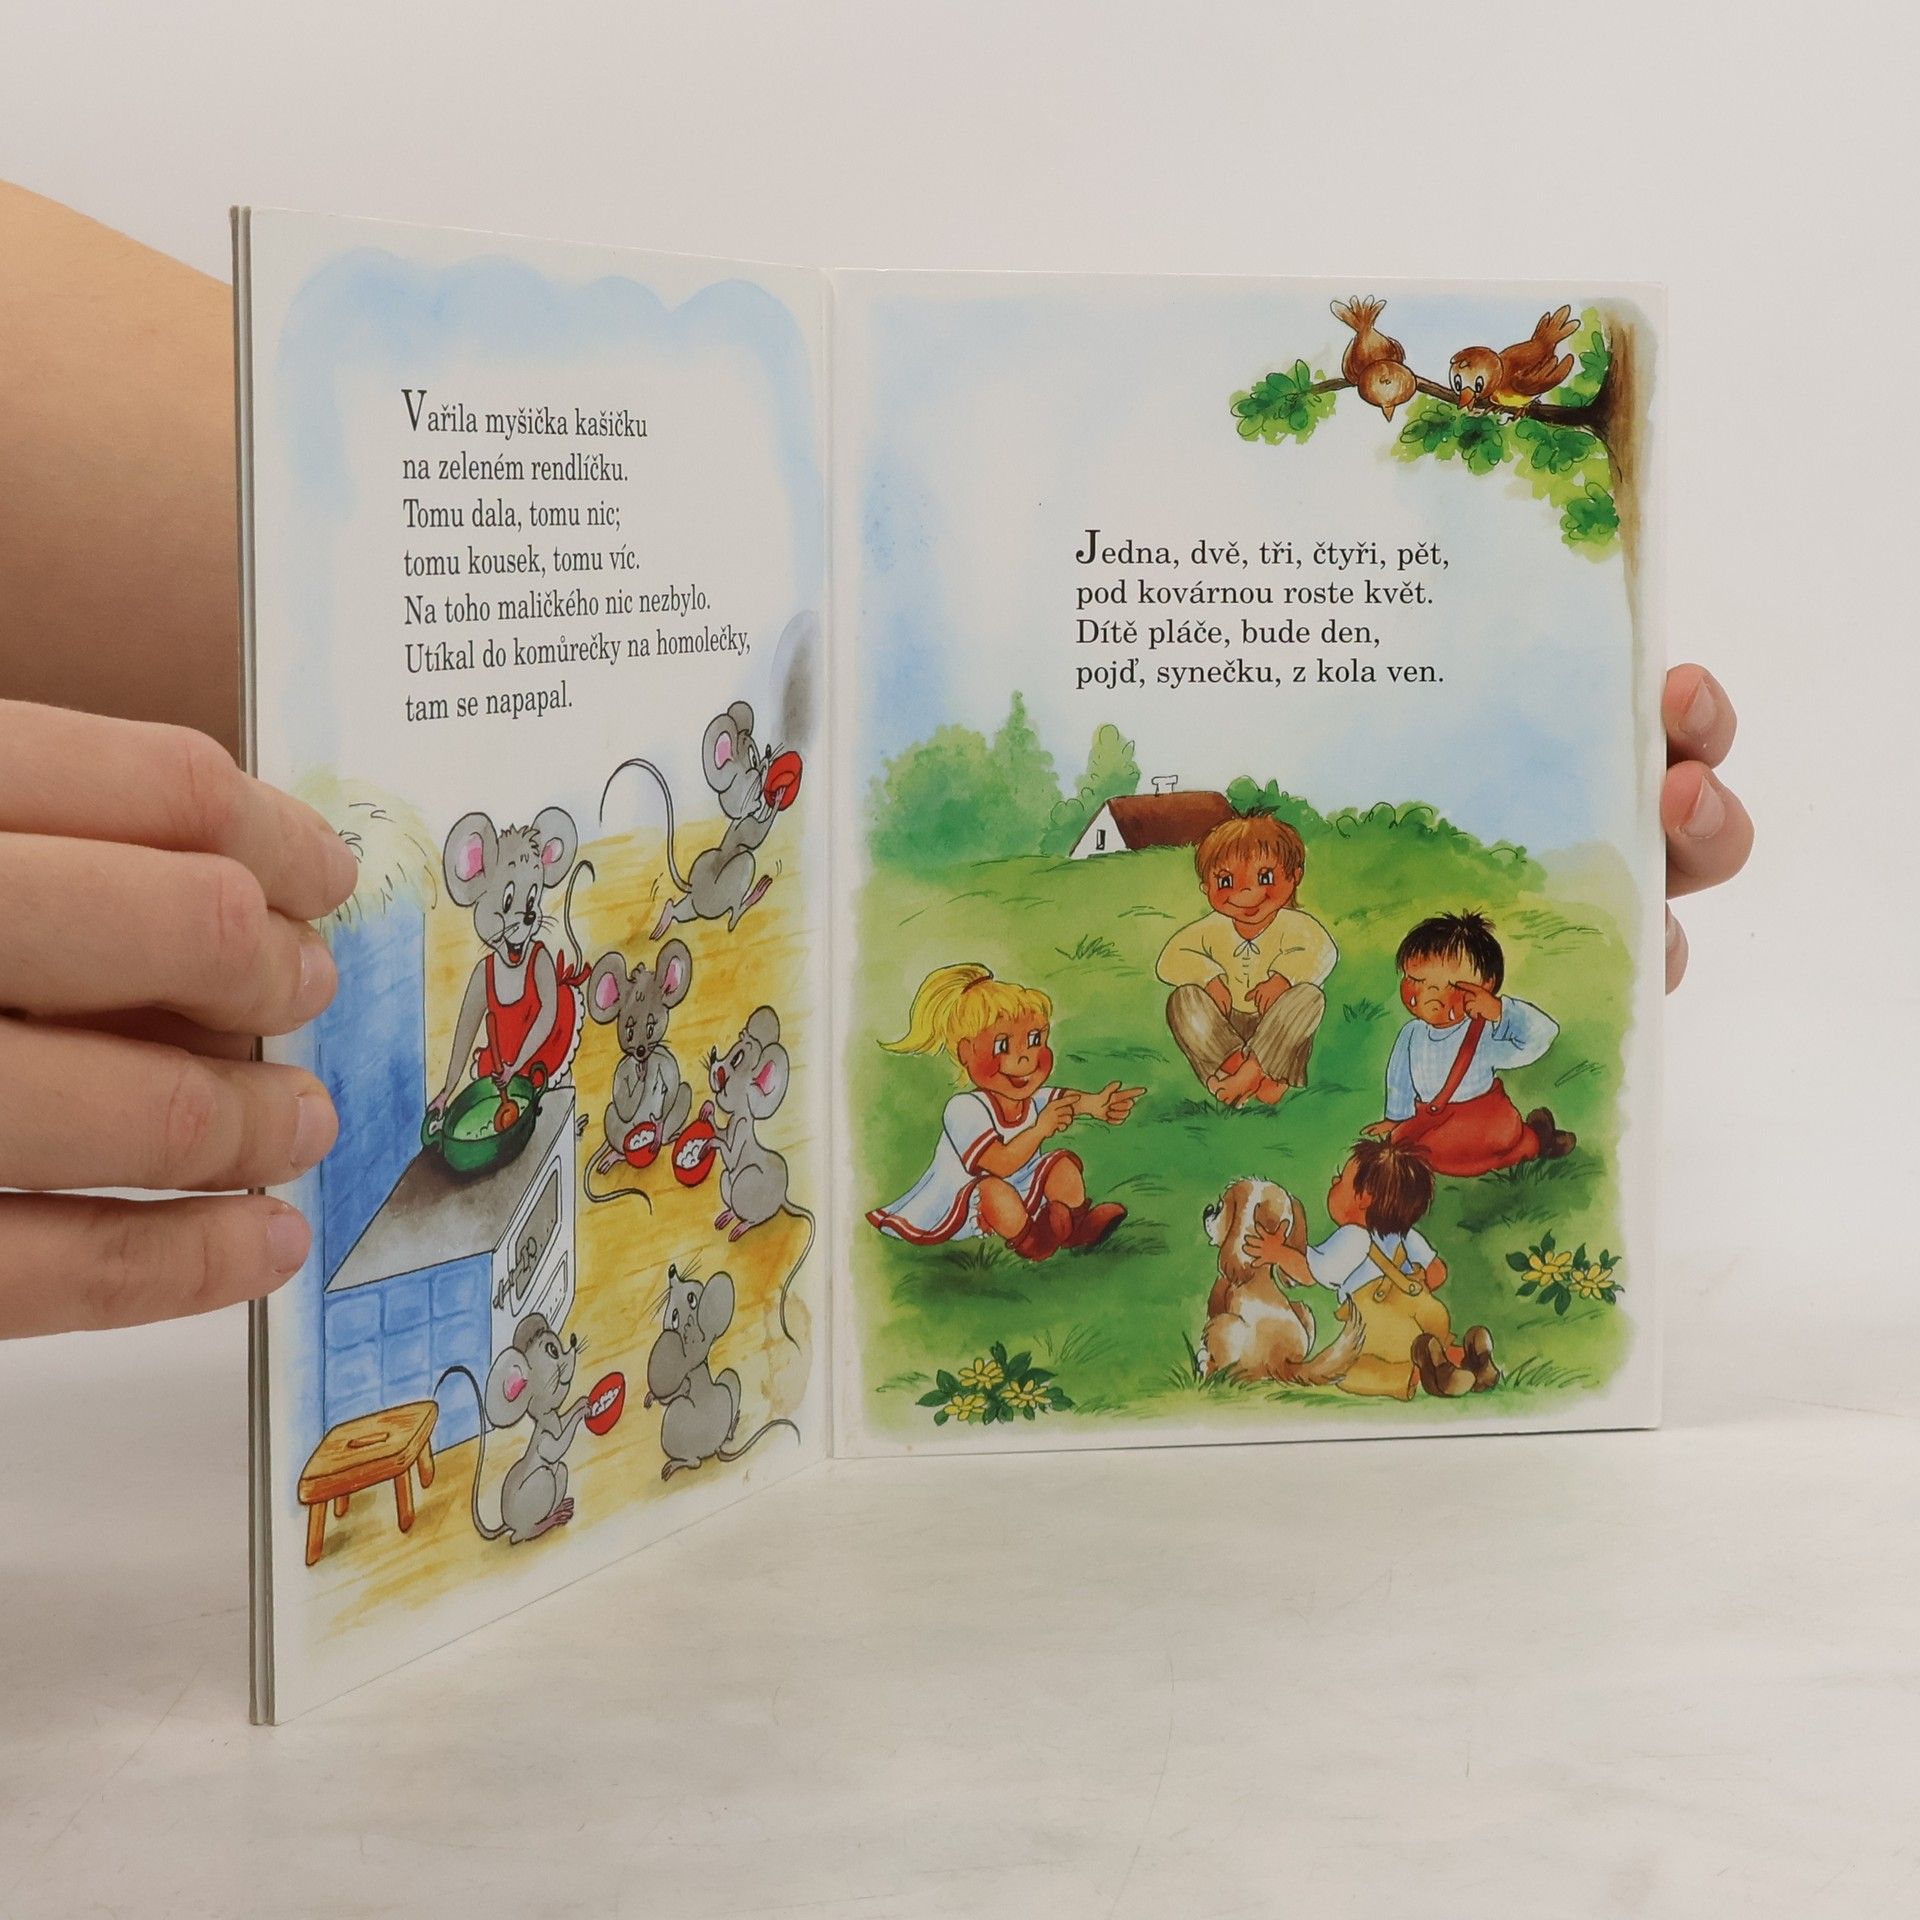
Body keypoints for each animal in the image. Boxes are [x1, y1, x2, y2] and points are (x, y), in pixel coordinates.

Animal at [1196, 1177, 1364, 1387]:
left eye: (1220, 1207)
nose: (1208, 1209)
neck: (1256, 1271)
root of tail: (1280, 1362)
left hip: (1225, 1325)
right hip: (1304, 1311)